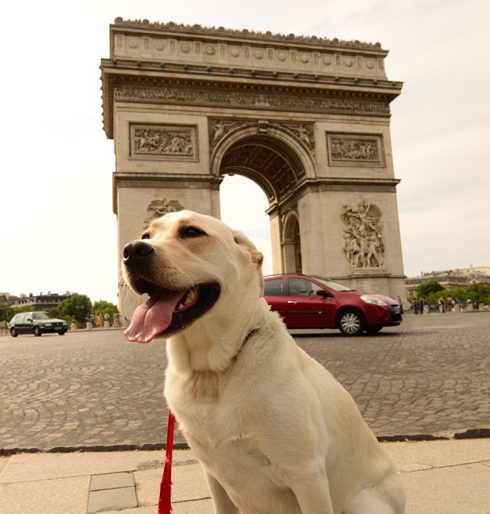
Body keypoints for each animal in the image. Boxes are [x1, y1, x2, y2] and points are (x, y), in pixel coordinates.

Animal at [122, 209, 406, 512]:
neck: (212, 372)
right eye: (146, 235)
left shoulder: (306, 475)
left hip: (363, 502)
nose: (132, 250)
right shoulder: (213, 473)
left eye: (191, 232)